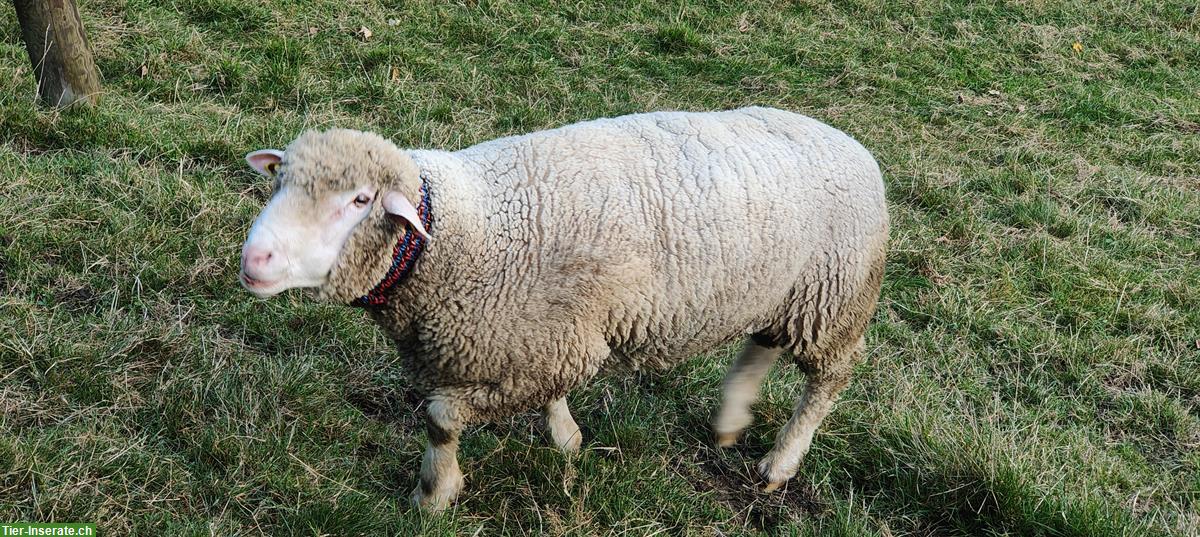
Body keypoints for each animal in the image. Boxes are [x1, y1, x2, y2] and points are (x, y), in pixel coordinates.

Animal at [236, 106, 892, 513]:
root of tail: (853, 145)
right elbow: (544, 396)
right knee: (760, 344)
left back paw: (780, 462)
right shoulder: (543, 338)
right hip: (778, 289)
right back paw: (731, 420)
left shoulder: (545, 344)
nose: (255, 257)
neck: (462, 229)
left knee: (829, 379)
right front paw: (567, 438)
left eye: (360, 201)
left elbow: (442, 418)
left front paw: (434, 494)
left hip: (835, 296)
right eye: (280, 182)